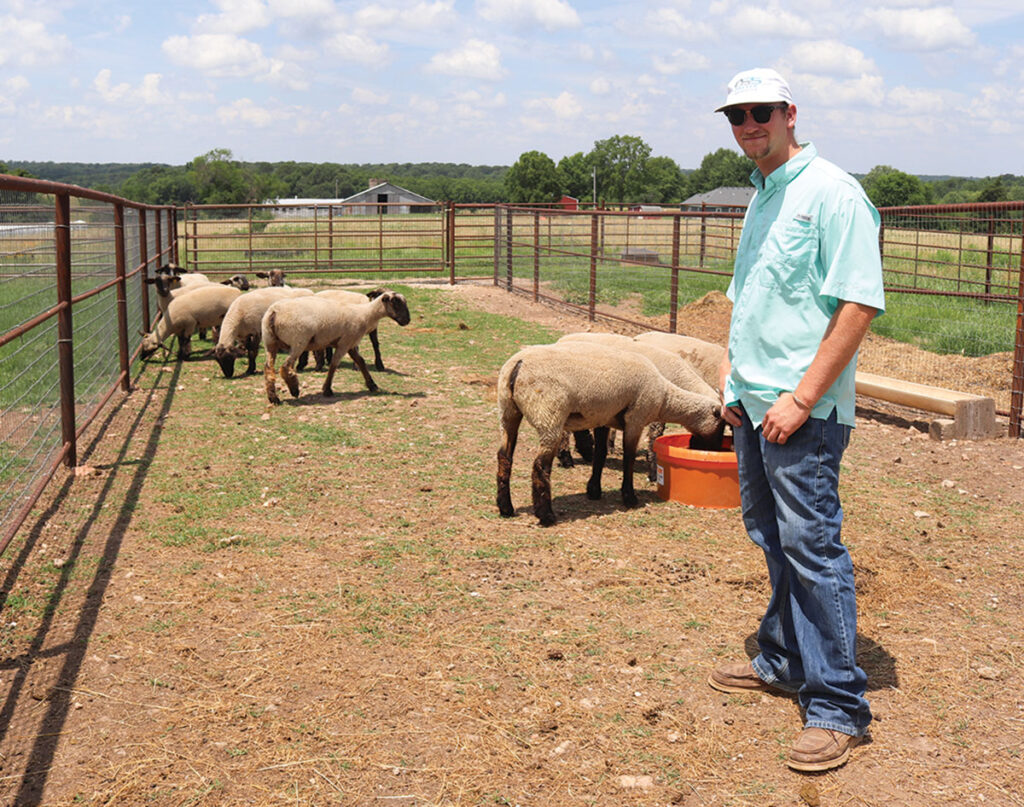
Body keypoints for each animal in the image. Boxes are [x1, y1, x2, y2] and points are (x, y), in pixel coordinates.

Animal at [260, 290, 411, 407]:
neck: (364, 315)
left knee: (268, 368)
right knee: (285, 367)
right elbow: (334, 365)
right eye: (396, 302)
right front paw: (327, 390)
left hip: (270, 342)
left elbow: (361, 362)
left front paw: (372, 385)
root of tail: (274, 312)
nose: (407, 321)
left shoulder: (350, 344)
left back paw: (273, 398)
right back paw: (294, 390)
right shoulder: (345, 343)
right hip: (298, 341)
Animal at [493, 342, 720, 528]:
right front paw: (629, 497)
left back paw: (506, 508)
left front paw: (594, 490)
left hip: (508, 411)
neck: (664, 398)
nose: (715, 450)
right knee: (540, 466)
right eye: (721, 424)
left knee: (504, 457)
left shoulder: (603, 418)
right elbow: (628, 458)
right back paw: (546, 515)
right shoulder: (636, 417)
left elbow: (600, 455)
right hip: (549, 415)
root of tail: (518, 365)